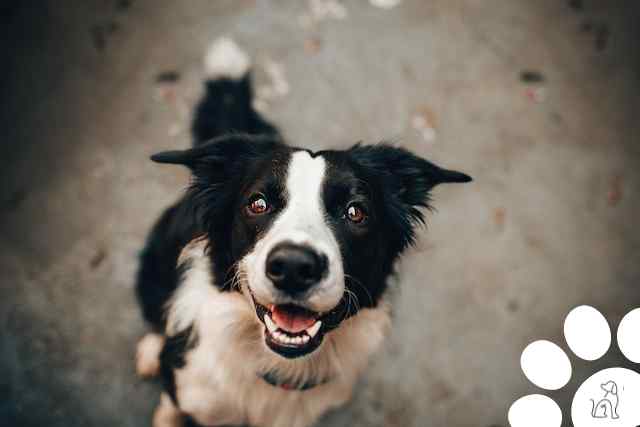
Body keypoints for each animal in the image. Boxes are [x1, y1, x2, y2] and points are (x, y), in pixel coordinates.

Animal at [135, 37, 472, 427]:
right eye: (258, 203)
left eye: (355, 212)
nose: (294, 267)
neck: (277, 367)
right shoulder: (192, 388)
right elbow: (172, 403)